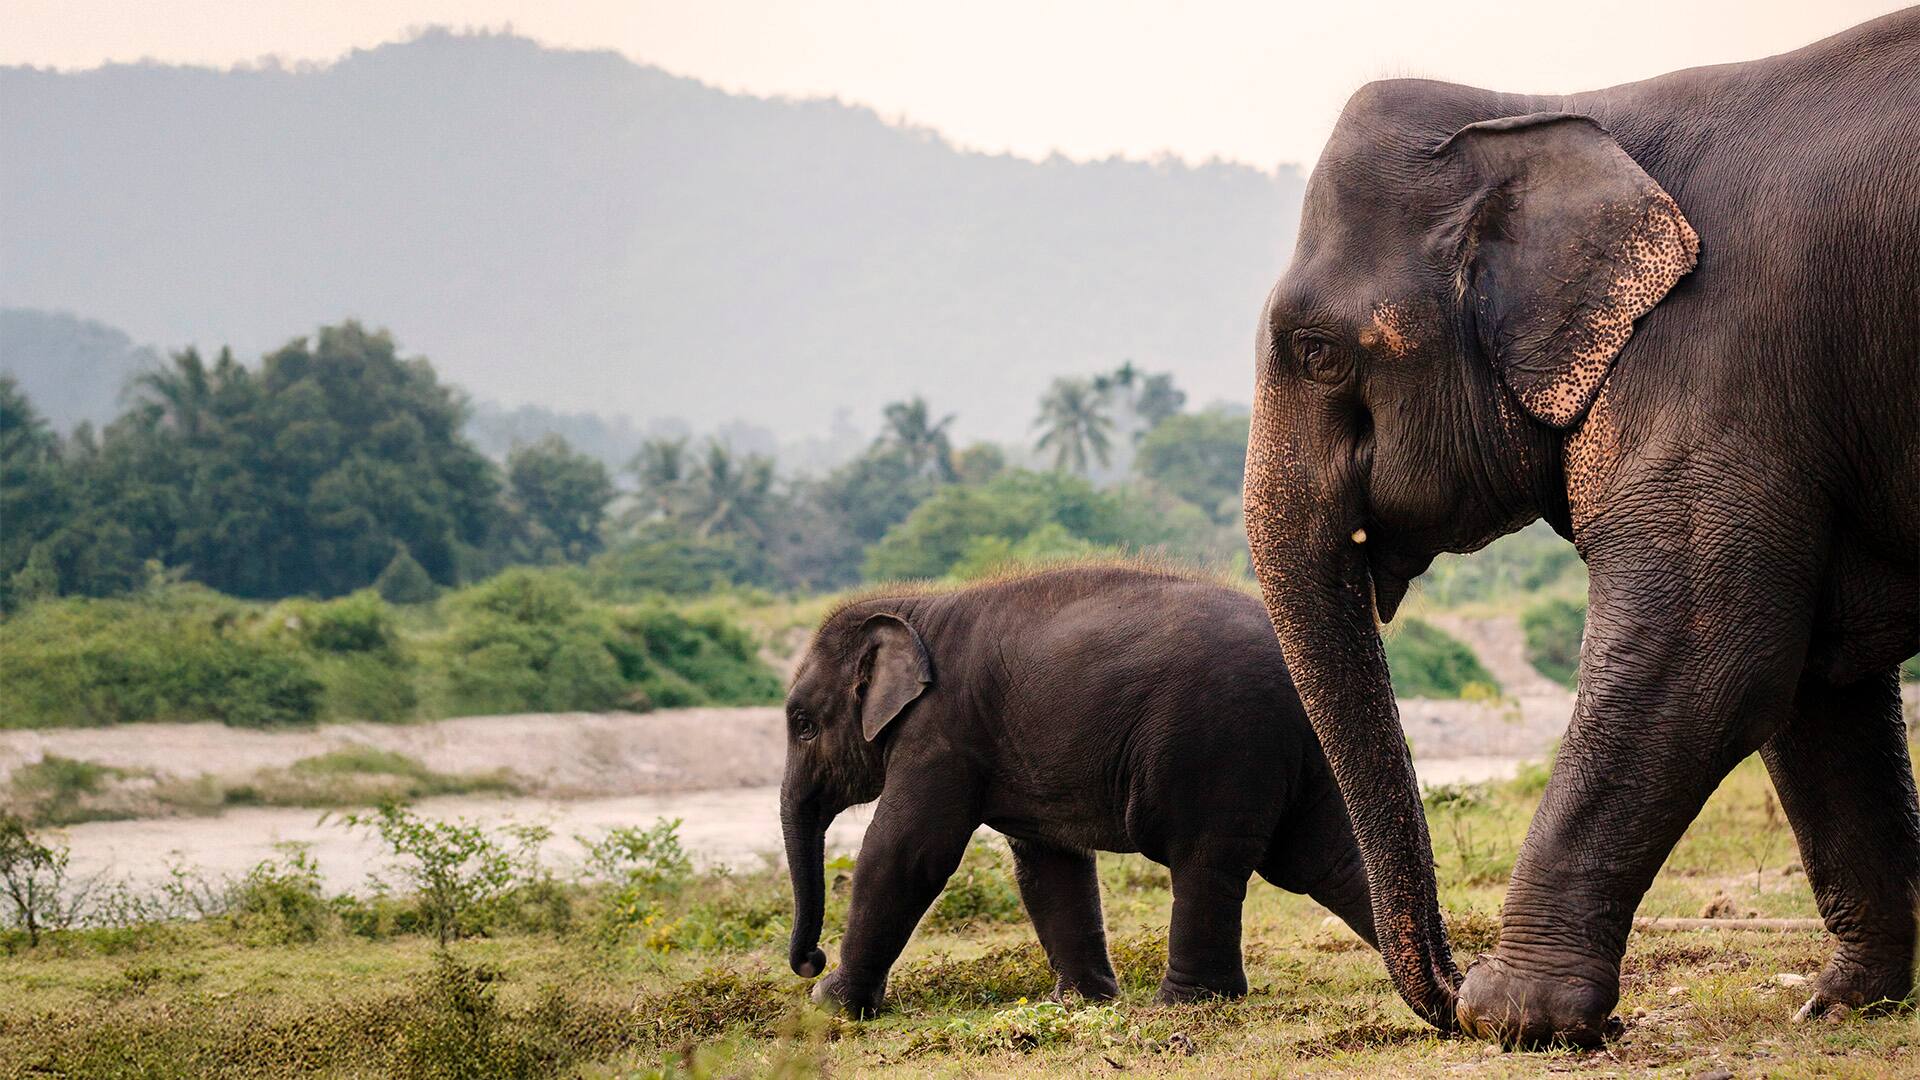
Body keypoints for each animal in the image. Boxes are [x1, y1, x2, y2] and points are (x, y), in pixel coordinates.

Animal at [780, 563, 1377, 1016]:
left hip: (1219, 742)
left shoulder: (938, 734)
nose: (812, 960)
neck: (915, 606)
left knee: (1207, 860)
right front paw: (1082, 1003)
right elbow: (1049, 864)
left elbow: (906, 853)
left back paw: (1187, 1005)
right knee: (1325, 860)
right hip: (1292, 749)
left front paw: (827, 1005)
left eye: (803, 724)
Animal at [1241, 9, 1919, 1047]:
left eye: (1316, 353)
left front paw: (1513, 1015)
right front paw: (1837, 1004)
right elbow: (1814, 685)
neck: (1544, 108)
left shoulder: (1713, 364)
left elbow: (1708, 655)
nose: (1447, 988)